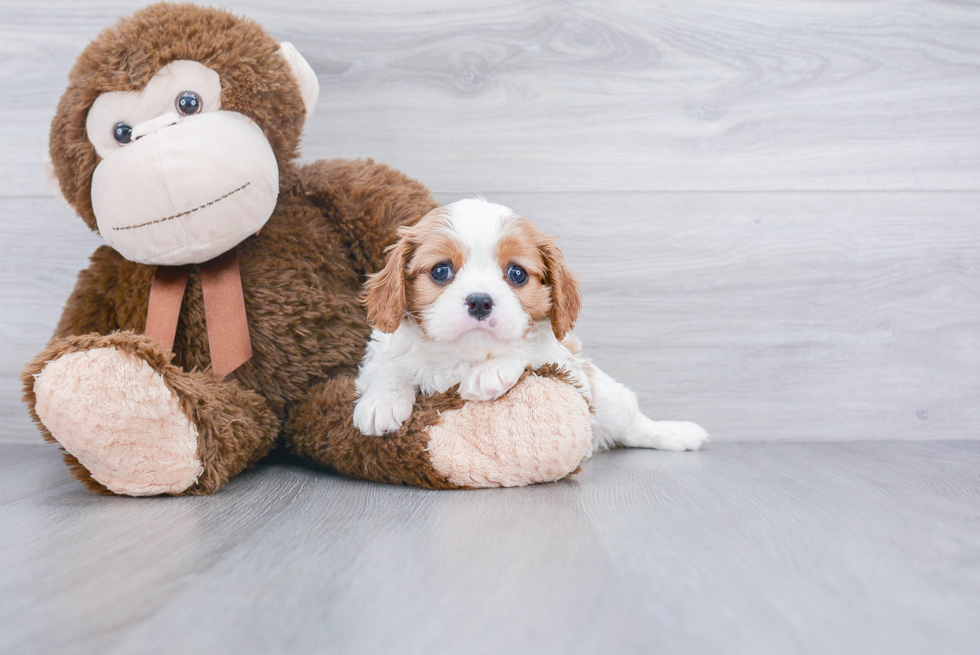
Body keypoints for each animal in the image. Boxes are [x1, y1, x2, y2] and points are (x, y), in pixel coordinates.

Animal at [356, 200, 708, 454]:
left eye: (517, 274)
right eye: (441, 271)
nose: (480, 301)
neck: (466, 355)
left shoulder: (570, 366)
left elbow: (531, 349)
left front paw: (490, 372)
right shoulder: (381, 350)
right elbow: (389, 366)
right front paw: (380, 403)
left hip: (610, 399)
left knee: (634, 424)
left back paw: (679, 433)